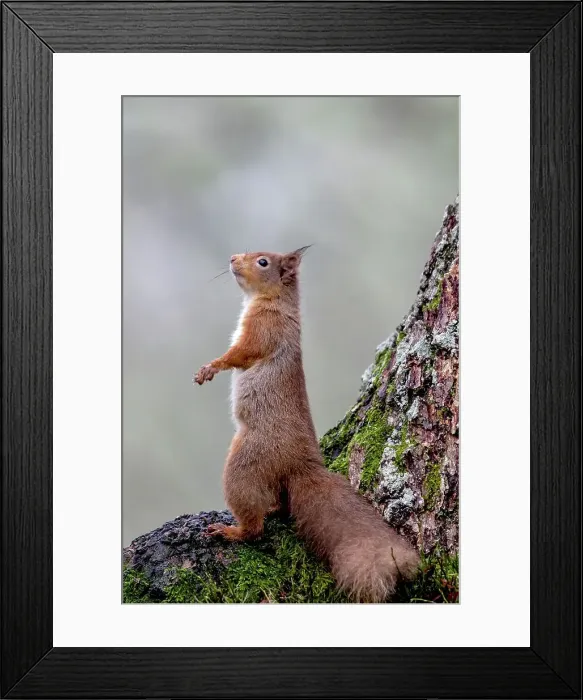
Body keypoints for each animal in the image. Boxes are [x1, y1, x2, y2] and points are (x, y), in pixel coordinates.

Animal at [193, 247, 420, 602]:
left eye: (263, 262)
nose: (232, 258)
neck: (273, 301)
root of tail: (300, 464)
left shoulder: (263, 330)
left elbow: (241, 353)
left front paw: (211, 367)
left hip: (244, 465)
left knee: (255, 528)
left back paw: (231, 531)